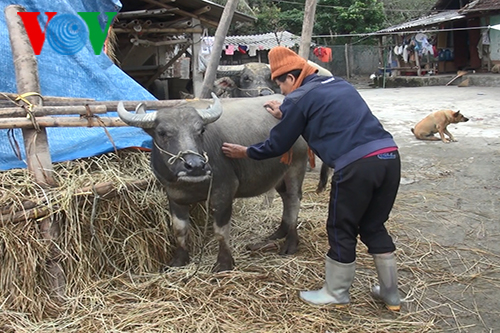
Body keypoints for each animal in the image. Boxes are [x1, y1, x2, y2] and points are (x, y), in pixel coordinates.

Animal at [117, 92, 308, 272]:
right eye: (162, 133)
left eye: (201, 130)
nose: (195, 166)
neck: (191, 184)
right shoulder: (174, 196)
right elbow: (179, 229)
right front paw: (179, 260)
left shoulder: (223, 193)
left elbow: (221, 231)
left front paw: (224, 263)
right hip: (280, 176)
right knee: (285, 198)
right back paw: (279, 233)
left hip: (296, 167)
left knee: (293, 200)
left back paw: (290, 244)